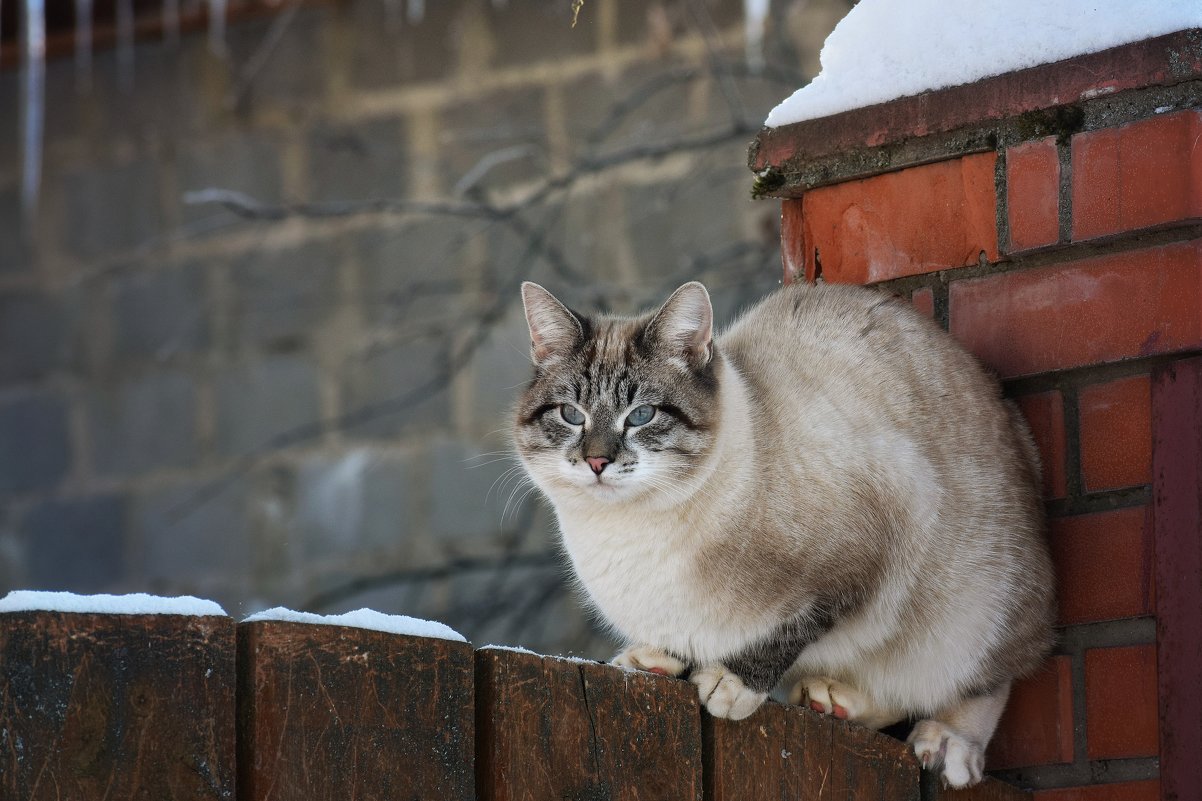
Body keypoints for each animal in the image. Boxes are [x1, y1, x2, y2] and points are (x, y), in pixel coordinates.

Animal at [512, 277, 1057, 784]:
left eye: (641, 415)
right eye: (571, 415)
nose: (597, 462)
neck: (630, 531)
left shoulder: (869, 548)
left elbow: (789, 630)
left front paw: (730, 685)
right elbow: (680, 638)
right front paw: (656, 661)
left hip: (973, 603)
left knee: (978, 676)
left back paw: (947, 743)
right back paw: (831, 700)